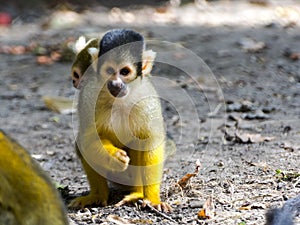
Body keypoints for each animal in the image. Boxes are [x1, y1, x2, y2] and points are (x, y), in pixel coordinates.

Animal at [68, 29, 171, 212]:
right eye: (110, 70)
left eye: (124, 72)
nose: (115, 84)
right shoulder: (89, 95)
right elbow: (87, 139)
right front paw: (115, 156)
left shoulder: (147, 97)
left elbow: (152, 142)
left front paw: (153, 199)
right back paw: (98, 196)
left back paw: (137, 193)